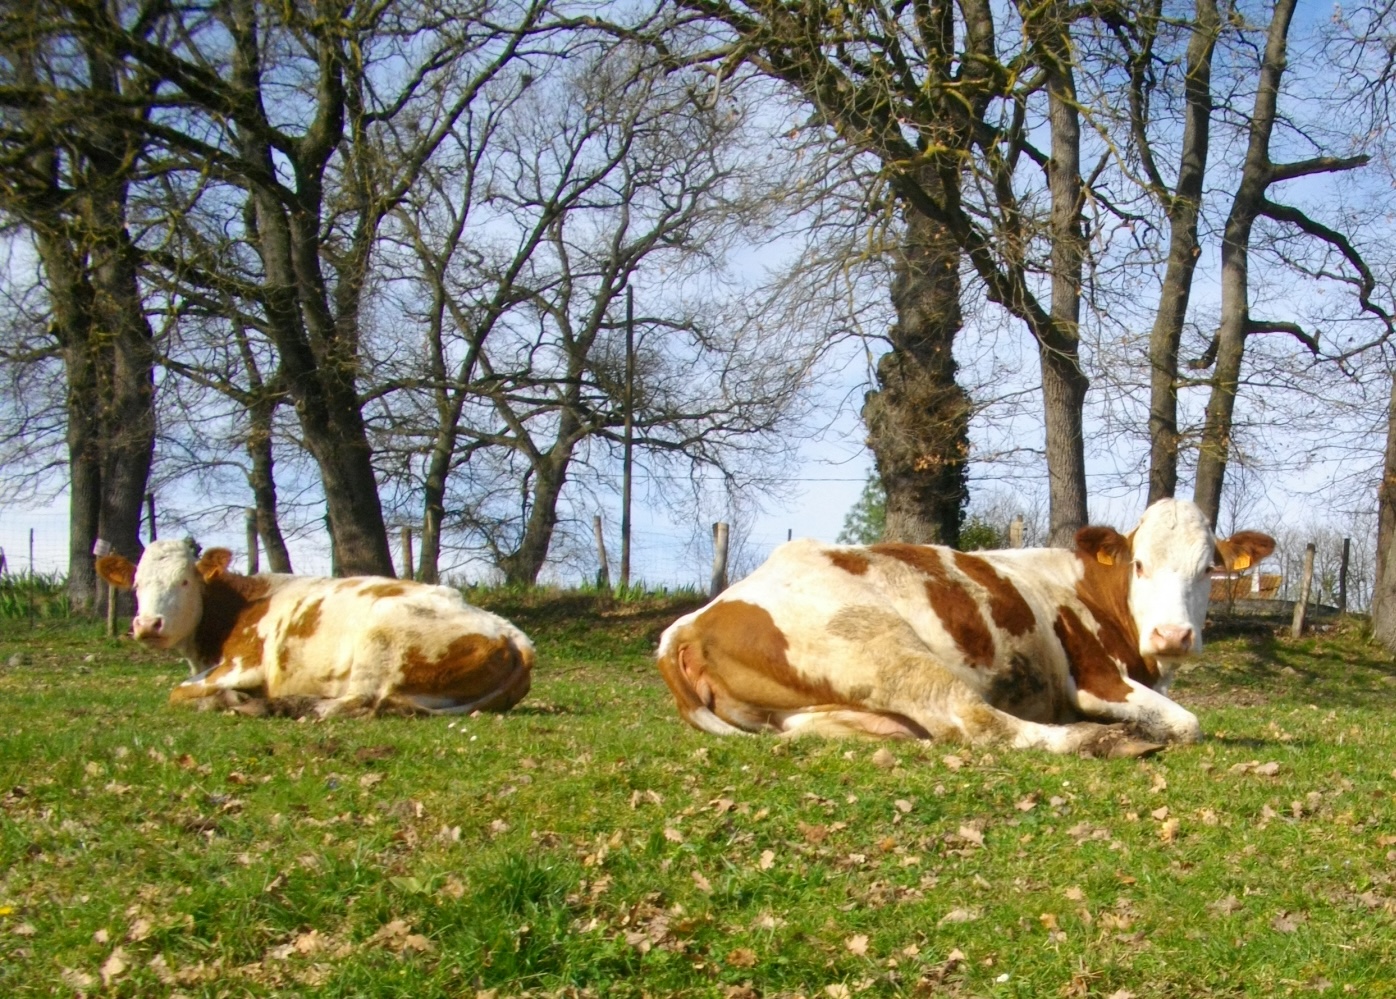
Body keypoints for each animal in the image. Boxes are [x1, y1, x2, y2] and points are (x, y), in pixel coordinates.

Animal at [95, 540, 534, 718]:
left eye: (184, 582)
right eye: (136, 585)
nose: (148, 624)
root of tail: (512, 635)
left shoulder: (242, 664)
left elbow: (176, 693)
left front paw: (222, 699)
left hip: (380, 637)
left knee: (357, 703)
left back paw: (287, 706)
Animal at [656, 499, 1274, 757]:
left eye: (1209, 568)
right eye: (1139, 564)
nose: (1173, 636)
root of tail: (693, 621)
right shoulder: (1096, 678)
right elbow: (1189, 725)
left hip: (820, 713)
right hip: (882, 648)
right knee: (977, 722)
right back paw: (1100, 741)